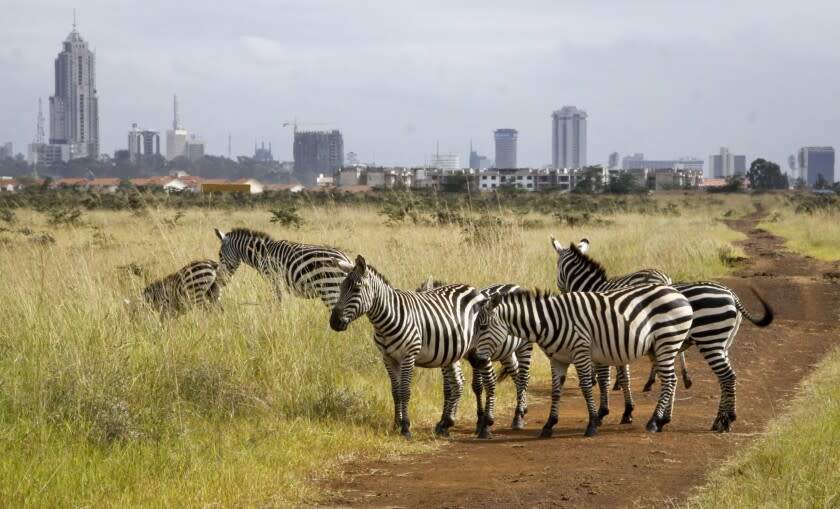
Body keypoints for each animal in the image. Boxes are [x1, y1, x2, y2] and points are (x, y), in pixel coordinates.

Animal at [215, 228, 352, 308]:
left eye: (220, 255)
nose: (221, 281)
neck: (263, 253)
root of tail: (346, 259)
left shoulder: (272, 278)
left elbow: (278, 300)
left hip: (329, 288)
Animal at [328, 256, 486, 438]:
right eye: (340, 288)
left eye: (356, 289)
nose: (334, 322)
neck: (386, 321)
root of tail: (471, 288)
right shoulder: (388, 358)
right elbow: (395, 391)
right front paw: (396, 423)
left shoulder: (408, 356)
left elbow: (404, 391)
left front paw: (405, 426)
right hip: (453, 352)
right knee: (458, 383)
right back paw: (445, 424)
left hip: (478, 348)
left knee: (481, 382)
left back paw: (481, 424)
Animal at [418, 276, 532, 434]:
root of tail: (516, 285)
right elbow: (451, 387)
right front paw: (444, 421)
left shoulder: (481, 354)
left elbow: (478, 385)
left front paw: (481, 422)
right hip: (507, 353)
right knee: (516, 375)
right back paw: (522, 409)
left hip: (524, 346)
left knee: (523, 377)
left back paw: (518, 417)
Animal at [476, 286, 692, 436]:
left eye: (483, 327)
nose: (477, 360)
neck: (551, 322)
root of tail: (677, 293)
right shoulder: (557, 360)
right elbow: (556, 391)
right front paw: (549, 425)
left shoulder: (580, 352)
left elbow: (587, 387)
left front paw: (592, 424)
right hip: (659, 348)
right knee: (672, 381)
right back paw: (663, 421)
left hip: (667, 342)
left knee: (669, 381)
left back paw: (654, 421)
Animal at [552, 236, 776, 430]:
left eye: (557, 269)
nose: (561, 291)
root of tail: (731, 294)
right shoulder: (618, 341)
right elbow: (624, 376)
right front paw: (627, 411)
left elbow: (608, 378)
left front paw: (604, 412)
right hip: (722, 342)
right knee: (725, 378)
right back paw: (719, 419)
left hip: (709, 338)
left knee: (726, 376)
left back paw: (725, 420)